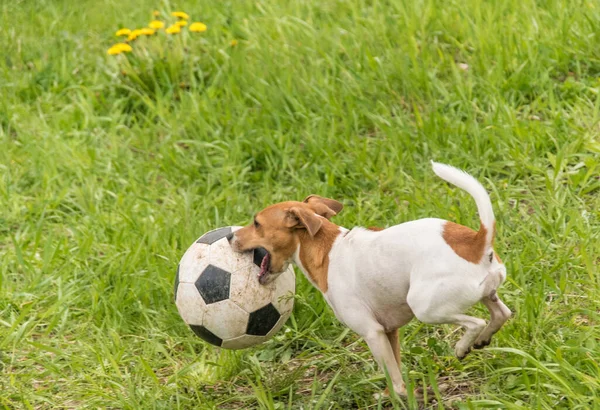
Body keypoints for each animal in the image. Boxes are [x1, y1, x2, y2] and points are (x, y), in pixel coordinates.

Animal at [229, 163, 510, 398]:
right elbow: (395, 366)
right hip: (485, 294)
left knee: (475, 322)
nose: (230, 236)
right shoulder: (389, 332)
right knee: (501, 313)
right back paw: (484, 338)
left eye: (256, 223)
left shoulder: (372, 333)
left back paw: (463, 347)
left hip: (426, 308)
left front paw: (397, 396)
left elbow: (394, 379)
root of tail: (476, 241)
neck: (327, 248)